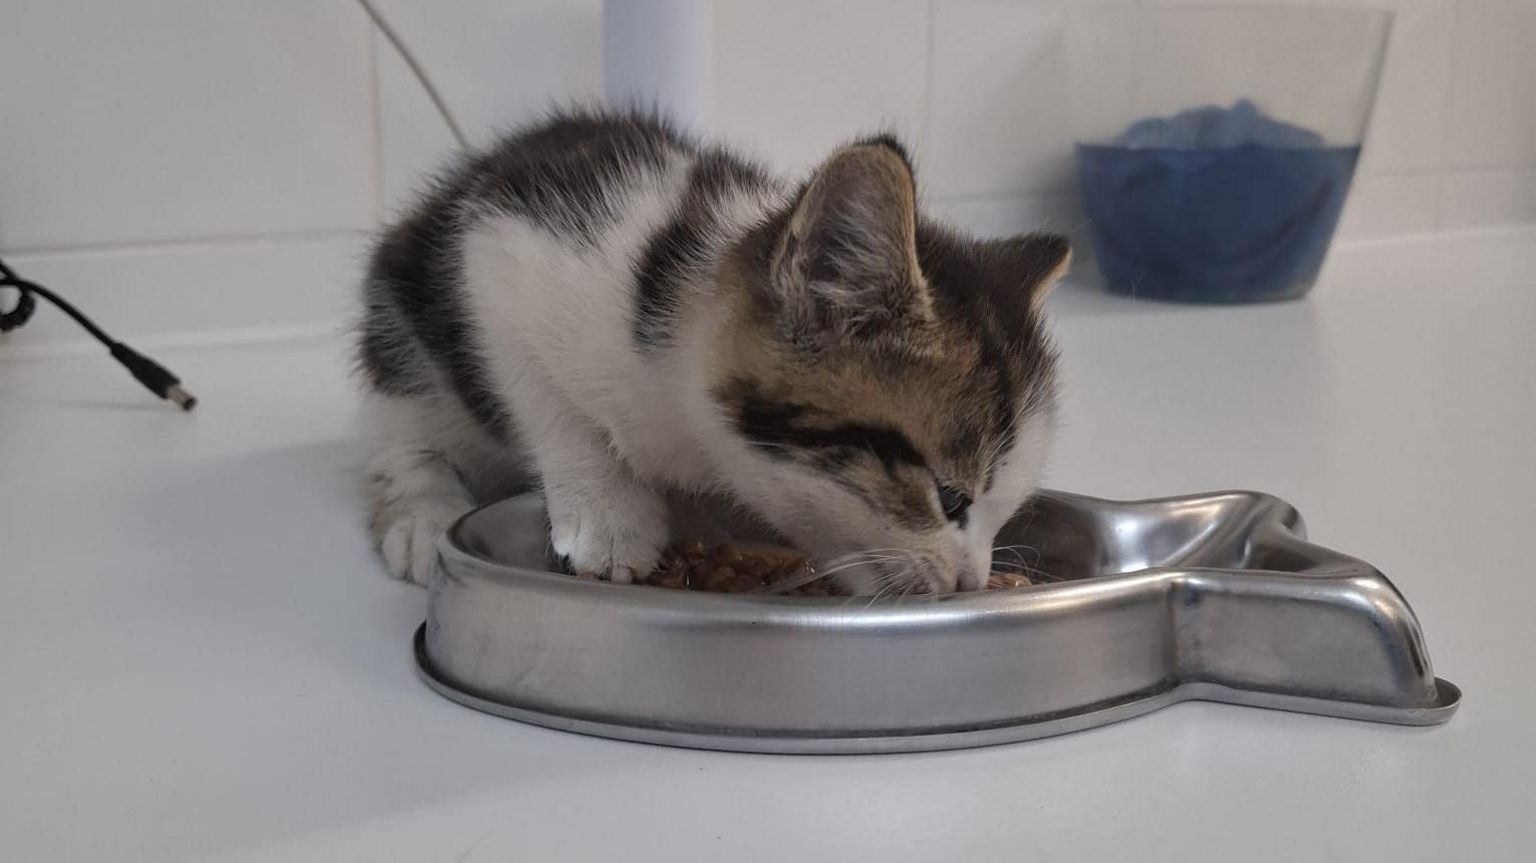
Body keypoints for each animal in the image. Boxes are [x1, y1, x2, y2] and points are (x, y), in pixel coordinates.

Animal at [357, 105, 1069, 589]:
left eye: (1003, 513)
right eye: (949, 499)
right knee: (406, 424)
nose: (971, 581)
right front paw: (608, 516)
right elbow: (540, 392)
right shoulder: (497, 247)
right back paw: (424, 513)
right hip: (404, 307)